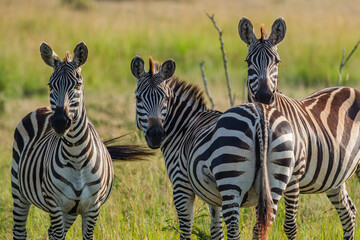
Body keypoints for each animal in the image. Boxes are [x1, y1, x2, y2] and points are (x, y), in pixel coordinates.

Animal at [10, 42, 149, 239]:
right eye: (50, 85)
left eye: (77, 84)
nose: (60, 122)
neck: (76, 157)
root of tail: (42, 109)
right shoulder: (56, 205)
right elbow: (57, 235)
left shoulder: (91, 208)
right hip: (18, 190)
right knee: (21, 230)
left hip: (70, 212)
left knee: (49, 231)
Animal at [132, 55, 296, 239]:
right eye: (138, 99)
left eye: (166, 99)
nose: (156, 135)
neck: (183, 126)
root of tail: (260, 115)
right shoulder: (215, 197)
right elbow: (216, 231)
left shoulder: (181, 186)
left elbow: (185, 229)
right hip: (276, 179)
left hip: (231, 180)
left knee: (234, 230)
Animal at [238, 16, 360, 238]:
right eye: (248, 62)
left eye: (277, 62)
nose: (263, 96)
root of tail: (350, 88)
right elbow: (260, 223)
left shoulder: (294, 178)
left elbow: (289, 226)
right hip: (335, 178)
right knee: (349, 212)